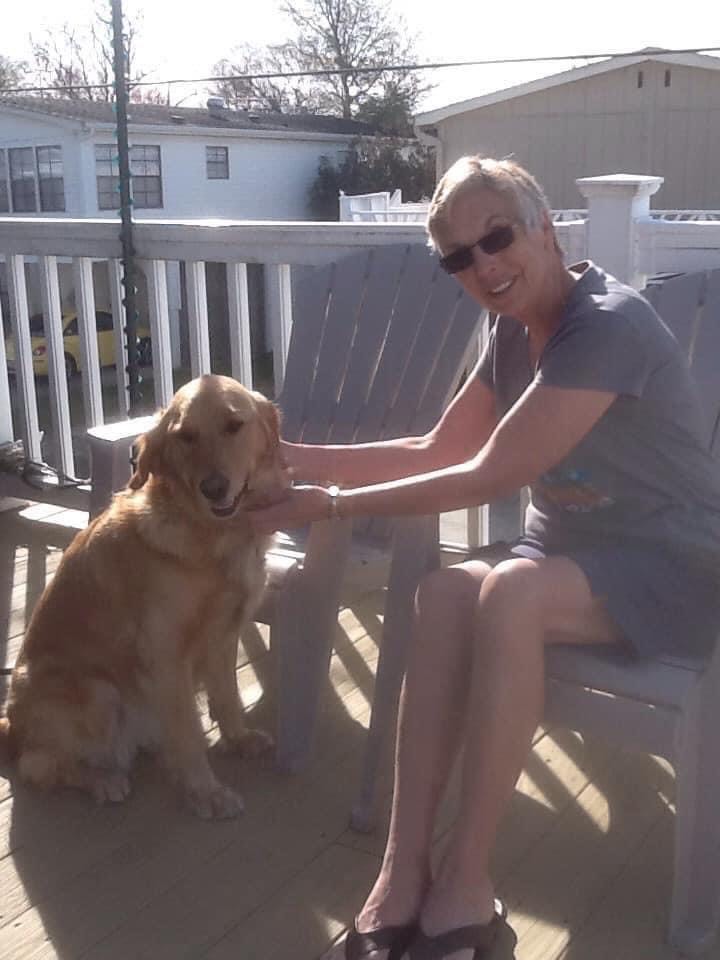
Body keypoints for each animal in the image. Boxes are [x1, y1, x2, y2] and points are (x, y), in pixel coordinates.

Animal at [0, 374, 289, 819]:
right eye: (186, 436)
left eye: (234, 425)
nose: (213, 488)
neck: (208, 535)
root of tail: (10, 727)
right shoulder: (165, 653)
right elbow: (188, 732)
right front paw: (206, 792)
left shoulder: (224, 635)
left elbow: (227, 698)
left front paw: (238, 739)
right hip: (98, 693)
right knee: (40, 765)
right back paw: (102, 780)